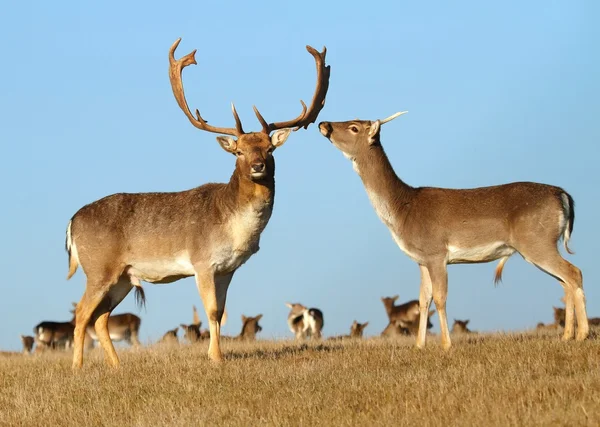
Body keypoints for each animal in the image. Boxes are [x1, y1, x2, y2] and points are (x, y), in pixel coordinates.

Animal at [64, 38, 332, 370]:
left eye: (269, 149)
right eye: (238, 151)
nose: (258, 166)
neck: (234, 227)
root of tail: (71, 222)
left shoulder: (228, 269)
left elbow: (221, 313)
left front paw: (216, 355)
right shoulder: (202, 262)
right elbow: (213, 311)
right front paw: (216, 358)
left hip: (124, 276)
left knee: (100, 317)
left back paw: (116, 366)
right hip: (98, 267)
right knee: (81, 313)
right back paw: (77, 367)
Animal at [322, 114, 588, 352]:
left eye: (354, 127)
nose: (324, 124)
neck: (403, 211)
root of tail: (563, 195)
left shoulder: (436, 252)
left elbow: (440, 298)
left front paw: (446, 345)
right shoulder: (422, 260)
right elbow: (423, 300)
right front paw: (419, 346)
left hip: (536, 241)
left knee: (574, 273)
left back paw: (583, 334)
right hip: (542, 244)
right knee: (564, 281)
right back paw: (567, 336)